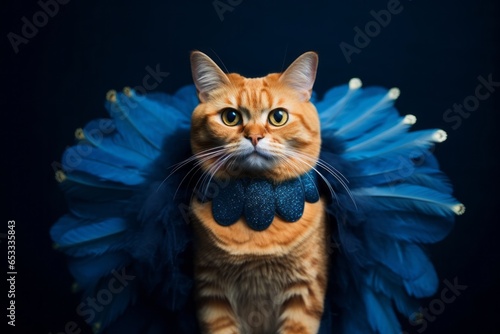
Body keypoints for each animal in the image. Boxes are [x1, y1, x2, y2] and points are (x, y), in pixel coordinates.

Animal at [189, 50, 326, 334]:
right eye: (230, 117)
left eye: (278, 117)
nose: (254, 137)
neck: (256, 199)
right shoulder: (211, 294)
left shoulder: (305, 295)